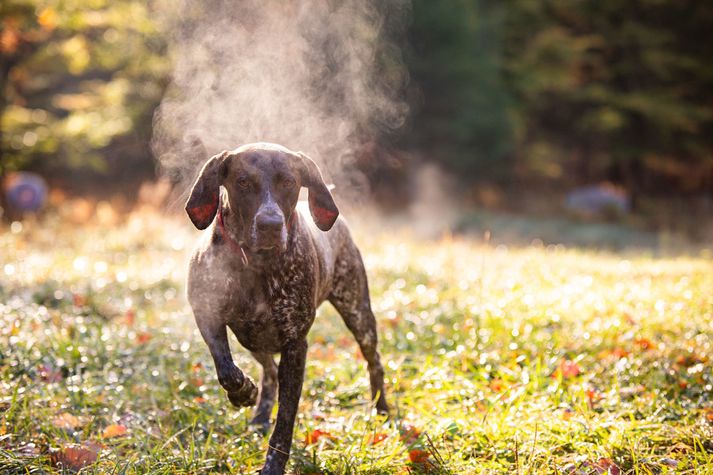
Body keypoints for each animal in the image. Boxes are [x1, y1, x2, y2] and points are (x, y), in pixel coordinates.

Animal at [181, 143, 386, 474]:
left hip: (358, 314)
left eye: (289, 182)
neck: (255, 264)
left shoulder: (295, 346)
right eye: (243, 182)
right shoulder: (207, 315)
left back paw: (382, 409)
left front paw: (273, 466)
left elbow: (286, 419)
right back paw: (259, 411)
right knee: (269, 374)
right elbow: (227, 371)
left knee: (374, 361)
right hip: (252, 340)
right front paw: (243, 392)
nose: (270, 224)